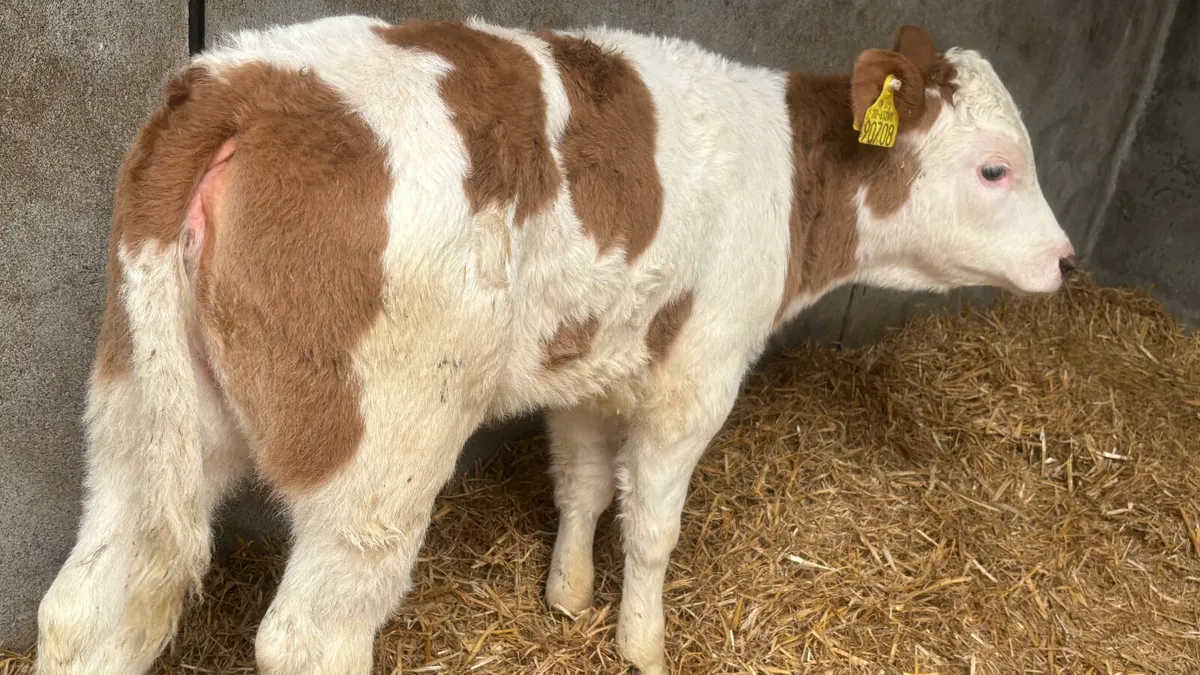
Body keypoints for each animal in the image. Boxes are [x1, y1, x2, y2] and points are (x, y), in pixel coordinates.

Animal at [35, 14, 1075, 675]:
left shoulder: (589, 366)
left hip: (138, 414)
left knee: (88, 609)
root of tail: (240, 79)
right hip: (378, 450)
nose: (1067, 260)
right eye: (996, 169)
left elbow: (581, 484)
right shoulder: (698, 370)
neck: (785, 176)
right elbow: (652, 526)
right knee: (309, 640)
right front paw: (643, 646)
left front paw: (568, 597)